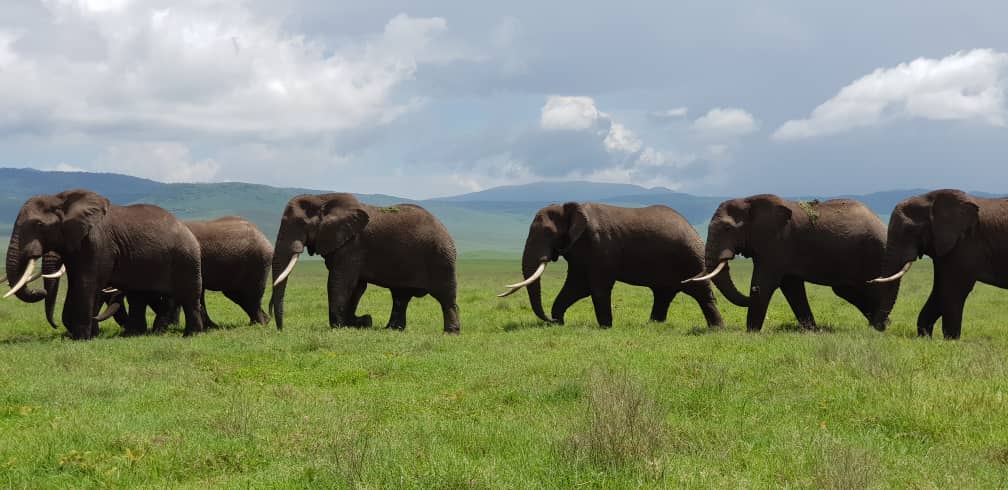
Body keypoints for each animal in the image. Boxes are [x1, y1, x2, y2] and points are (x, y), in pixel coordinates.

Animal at [3, 189, 204, 338]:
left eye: (39, 225)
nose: (39, 291)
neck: (60, 199)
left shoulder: (97, 242)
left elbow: (86, 283)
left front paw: (81, 338)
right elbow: (75, 283)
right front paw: (81, 334)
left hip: (186, 258)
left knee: (188, 296)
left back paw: (190, 335)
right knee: (140, 295)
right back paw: (136, 334)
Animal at [266, 193, 459, 334]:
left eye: (299, 223)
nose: (280, 329)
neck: (323, 198)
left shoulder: (353, 245)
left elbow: (340, 282)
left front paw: (339, 327)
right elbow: (357, 286)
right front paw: (360, 322)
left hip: (441, 258)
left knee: (446, 297)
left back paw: (450, 333)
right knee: (400, 297)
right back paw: (391, 330)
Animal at [497, 198, 721, 328]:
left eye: (548, 232)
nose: (550, 321)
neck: (570, 208)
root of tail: (693, 228)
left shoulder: (600, 246)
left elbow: (596, 288)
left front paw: (605, 327)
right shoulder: (579, 251)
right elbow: (576, 287)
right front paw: (559, 322)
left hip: (691, 258)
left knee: (702, 292)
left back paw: (717, 328)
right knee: (663, 294)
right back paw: (653, 325)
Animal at [693, 195, 899, 332]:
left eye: (728, 228)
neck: (748, 200)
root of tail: (881, 222)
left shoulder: (777, 242)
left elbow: (767, 283)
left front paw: (751, 332)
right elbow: (791, 286)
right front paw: (812, 331)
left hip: (873, 253)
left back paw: (880, 325)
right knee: (846, 290)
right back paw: (880, 324)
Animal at [866, 189, 1008, 338]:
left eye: (909, 230)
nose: (882, 326)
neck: (932, 200)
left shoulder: (965, 244)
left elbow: (953, 290)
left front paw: (950, 340)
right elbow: (939, 290)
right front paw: (925, 338)